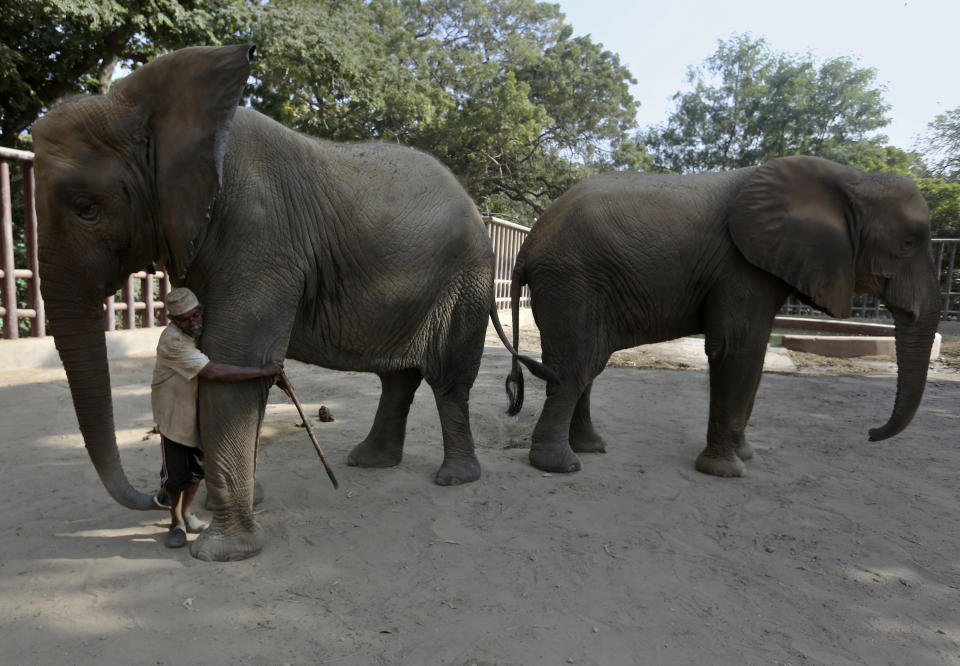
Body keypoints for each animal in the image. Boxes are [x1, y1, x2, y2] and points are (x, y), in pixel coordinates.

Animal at [31, 44, 556, 556]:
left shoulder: (259, 234)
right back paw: (369, 462)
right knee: (398, 377)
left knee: (447, 379)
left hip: (462, 284)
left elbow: (235, 363)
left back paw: (453, 478)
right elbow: (236, 369)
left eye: (86, 209)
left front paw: (222, 551)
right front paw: (245, 504)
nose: (156, 495)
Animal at [506, 156, 940, 478]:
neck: (850, 178)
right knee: (575, 366)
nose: (870, 433)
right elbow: (738, 350)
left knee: (588, 366)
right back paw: (562, 466)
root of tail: (528, 244)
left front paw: (744, 456)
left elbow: (755, 356)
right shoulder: (740, 267)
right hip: (572, 282)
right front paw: (728, 471)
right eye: (907, 243)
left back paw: (591, 448)